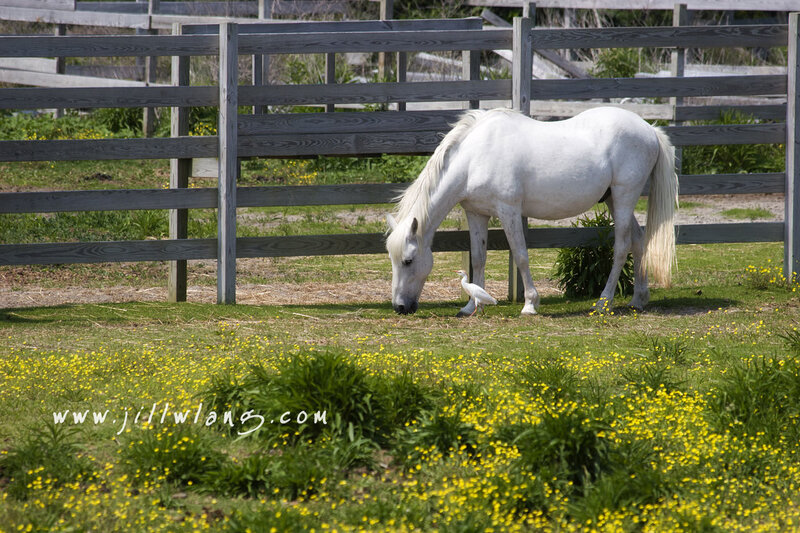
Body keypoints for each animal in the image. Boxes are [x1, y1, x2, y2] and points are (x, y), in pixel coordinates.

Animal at [385, 107, 678, 316]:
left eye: (408, 260)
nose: (400, 307)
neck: (474, 157)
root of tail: (649, 129)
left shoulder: (509, 211)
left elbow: (521, 255)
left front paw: (530, 304)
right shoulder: (476, 214)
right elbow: (478, 258)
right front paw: (469, 306)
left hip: (624, 195)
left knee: (622, 246)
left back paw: (603, 303)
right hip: (613, 200)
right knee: (639, 241)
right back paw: (638, 299)